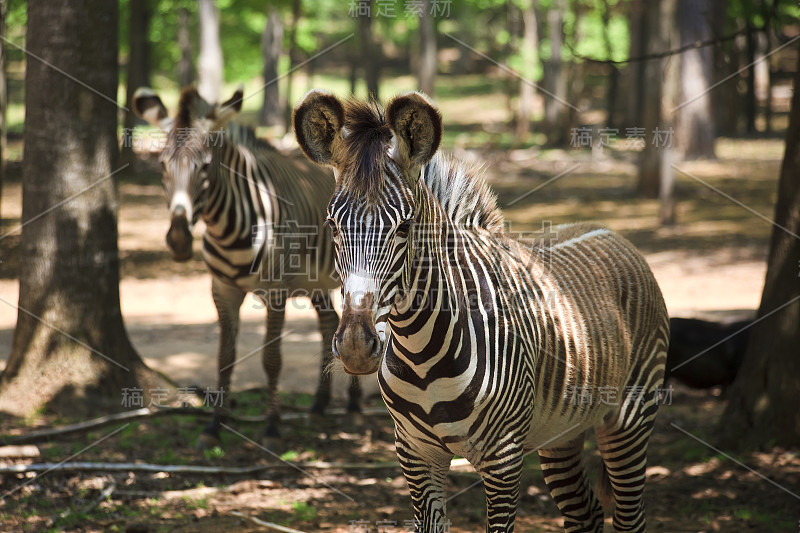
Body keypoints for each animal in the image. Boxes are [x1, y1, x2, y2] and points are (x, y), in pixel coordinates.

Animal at [134, 85, 362, 446]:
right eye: (161, 165)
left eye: (205, 166)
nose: (179, 240)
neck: (227, 227)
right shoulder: (222, 290)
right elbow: (224, 359)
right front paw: (215, 425)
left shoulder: (275, 292)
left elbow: (272, 360)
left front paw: (271, 425)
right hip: (313, 282)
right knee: (329, 324)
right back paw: (319, 405)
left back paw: (353, 407)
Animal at [294, 89, 668, 528]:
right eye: (332, 225)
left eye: (404, 228)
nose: (355, 346)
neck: (420, 354)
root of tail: (610, 231)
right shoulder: (415, 453)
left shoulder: (503, 458)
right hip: (562, 431)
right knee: (587, 513)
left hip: (630, 416)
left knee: (630, 516)